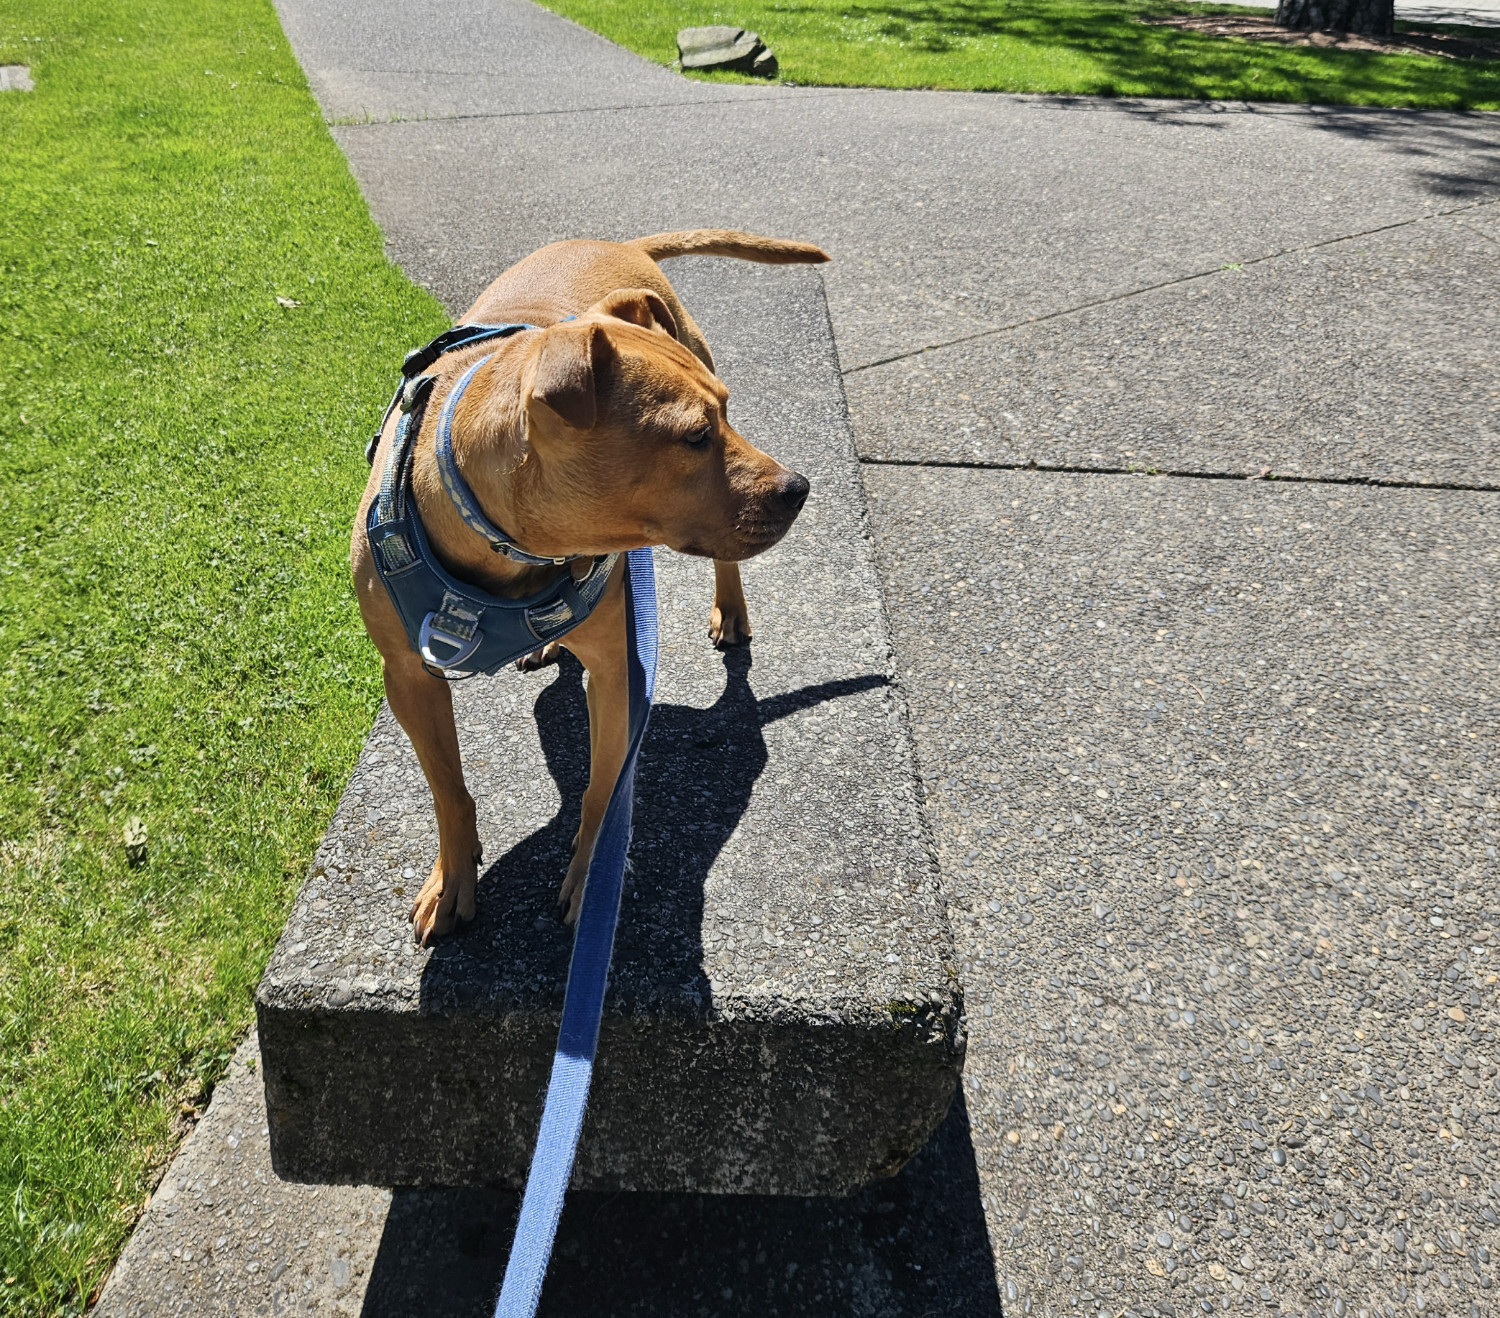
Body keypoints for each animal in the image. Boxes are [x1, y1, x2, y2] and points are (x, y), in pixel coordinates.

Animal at [349, 232, 828, 941]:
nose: (798, 488)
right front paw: (453, 876)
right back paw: (548, 644)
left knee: (725, 564)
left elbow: (604, 791)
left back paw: (730, 609)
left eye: (724, 409)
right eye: (695, 435)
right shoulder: (408, 678)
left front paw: (592, 878)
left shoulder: (619, 668)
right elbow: (447, 788)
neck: (511, 547)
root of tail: (619, 242)